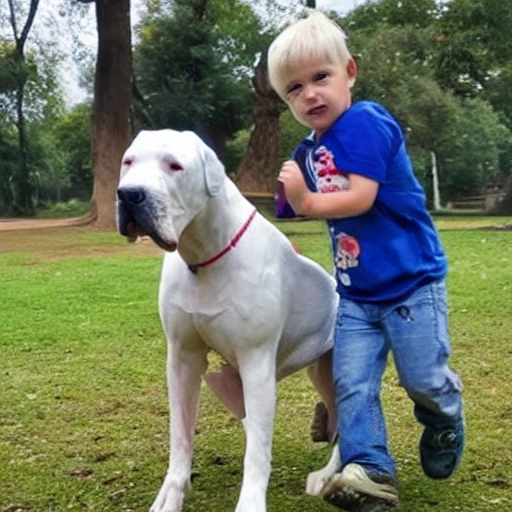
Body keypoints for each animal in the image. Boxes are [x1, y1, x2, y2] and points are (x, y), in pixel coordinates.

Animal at [116, 130, 340, 512]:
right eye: (129, 162)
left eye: (174, 166)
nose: (130, 194)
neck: (203, 252)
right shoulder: (183, 358)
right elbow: (181, 433)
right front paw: (172, 493)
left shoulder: (256, 361)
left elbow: (257, 452)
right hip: (248, 378)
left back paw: (329, 476)